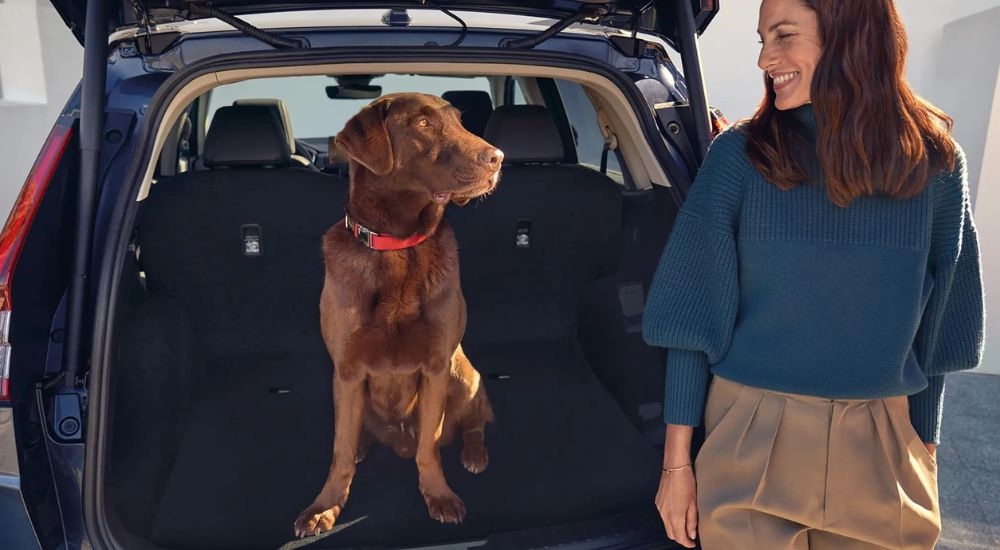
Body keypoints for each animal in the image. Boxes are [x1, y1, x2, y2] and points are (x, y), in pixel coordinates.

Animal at [294, 91, 500, 540]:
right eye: (422, 124)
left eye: (460, 121)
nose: (497, 158)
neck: (397, 247)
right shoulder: (347, 371)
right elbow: (339, 449)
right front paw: (325, 506)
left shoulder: (438, 365)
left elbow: (429, 447)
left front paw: (438, 495)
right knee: (354, 435)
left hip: (464, 374)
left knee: (476, 421)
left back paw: (475, 454)